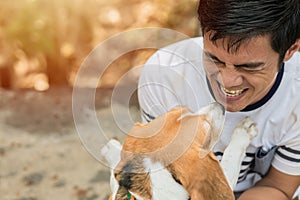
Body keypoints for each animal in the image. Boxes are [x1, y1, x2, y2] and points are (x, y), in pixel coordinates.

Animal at [101, 103, 258, 200]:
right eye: (207, 126)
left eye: (181, 109)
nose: (219, 104)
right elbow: (230, 159)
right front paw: (243, 132)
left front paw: (111, 149)